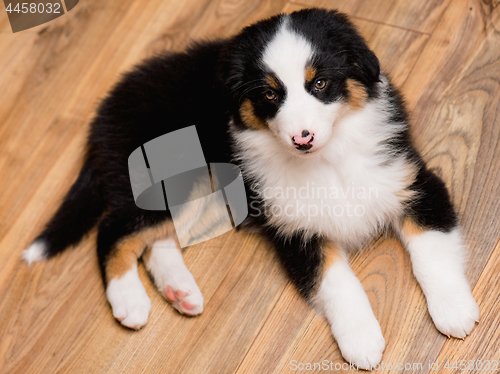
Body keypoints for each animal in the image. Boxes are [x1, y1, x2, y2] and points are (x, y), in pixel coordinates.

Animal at [22, 8, 476, 368]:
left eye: (320, 84)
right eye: (270, 94)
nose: (302, 138)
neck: (327, 160)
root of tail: (105, 113)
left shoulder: (412, 181)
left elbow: (432, 249)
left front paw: (453, 309)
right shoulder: (295, 230)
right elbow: (337, 282)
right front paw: (361, 340)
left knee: (156, 240)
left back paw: (179, 292)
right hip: (176, 177)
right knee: (113, 231)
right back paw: (129, 301)